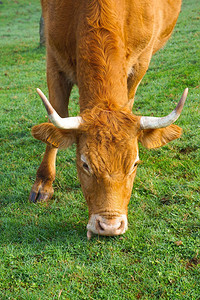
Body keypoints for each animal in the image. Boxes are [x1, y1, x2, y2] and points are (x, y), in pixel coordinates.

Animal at [29, 0, 188, 239]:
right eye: (84, 164)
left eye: (134, 164)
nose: (110, 225)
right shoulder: (54, 58)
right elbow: (57, 114)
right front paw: (43, 183)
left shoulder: (140, 63)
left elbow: (128, 101)